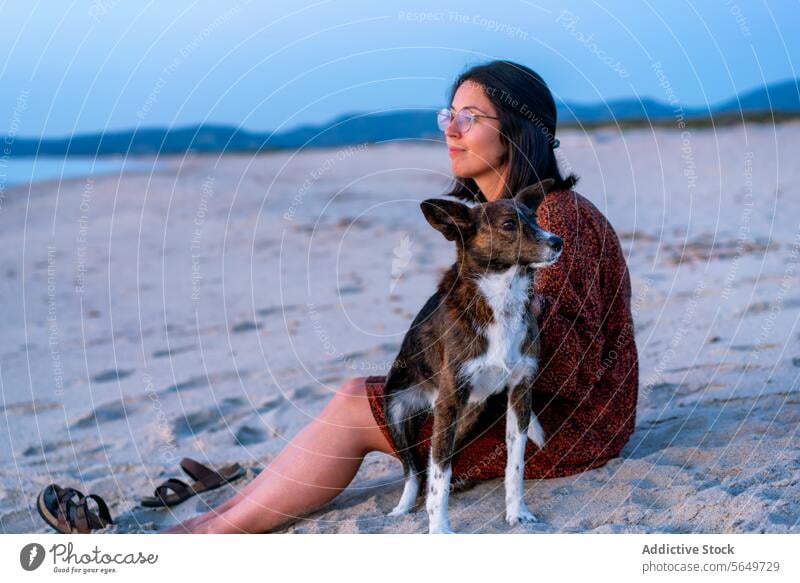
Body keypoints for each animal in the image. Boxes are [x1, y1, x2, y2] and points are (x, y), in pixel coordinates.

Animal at [382, 177, 564, 532]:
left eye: (535, 218)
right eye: (508, 225)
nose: (557, 241)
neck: (502, 298)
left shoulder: (520, 390)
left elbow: (515, 466)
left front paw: (517, 513)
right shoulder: (449, 399)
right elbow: (439, 474)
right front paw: (439, 528)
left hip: (468, 414)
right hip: (398, 409)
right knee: (413, 470)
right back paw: (403, 508)